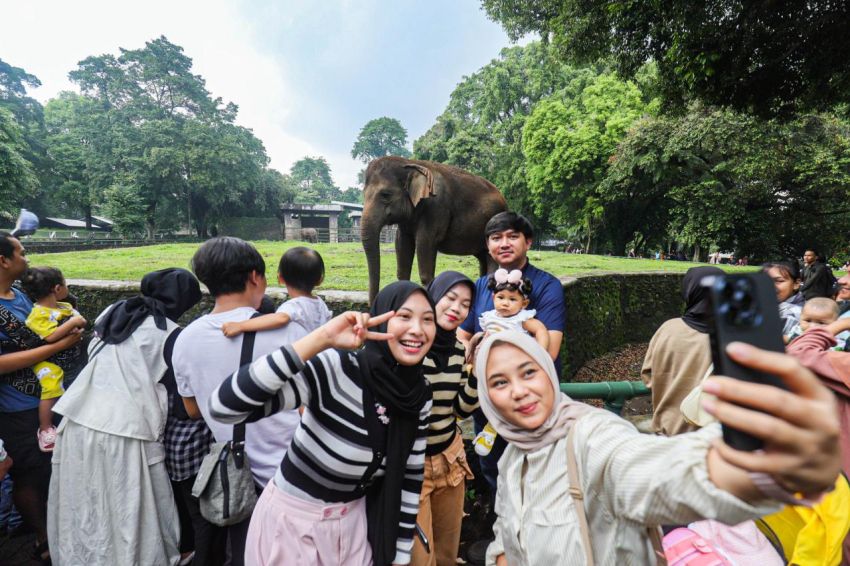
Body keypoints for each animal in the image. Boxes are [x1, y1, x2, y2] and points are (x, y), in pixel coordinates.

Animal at [358, 158, 504, 304]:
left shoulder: (435, 208)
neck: (408, 163)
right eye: (363, 194)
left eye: (386, 195)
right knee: (482, 258)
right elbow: (402, 246)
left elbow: (425, 245)